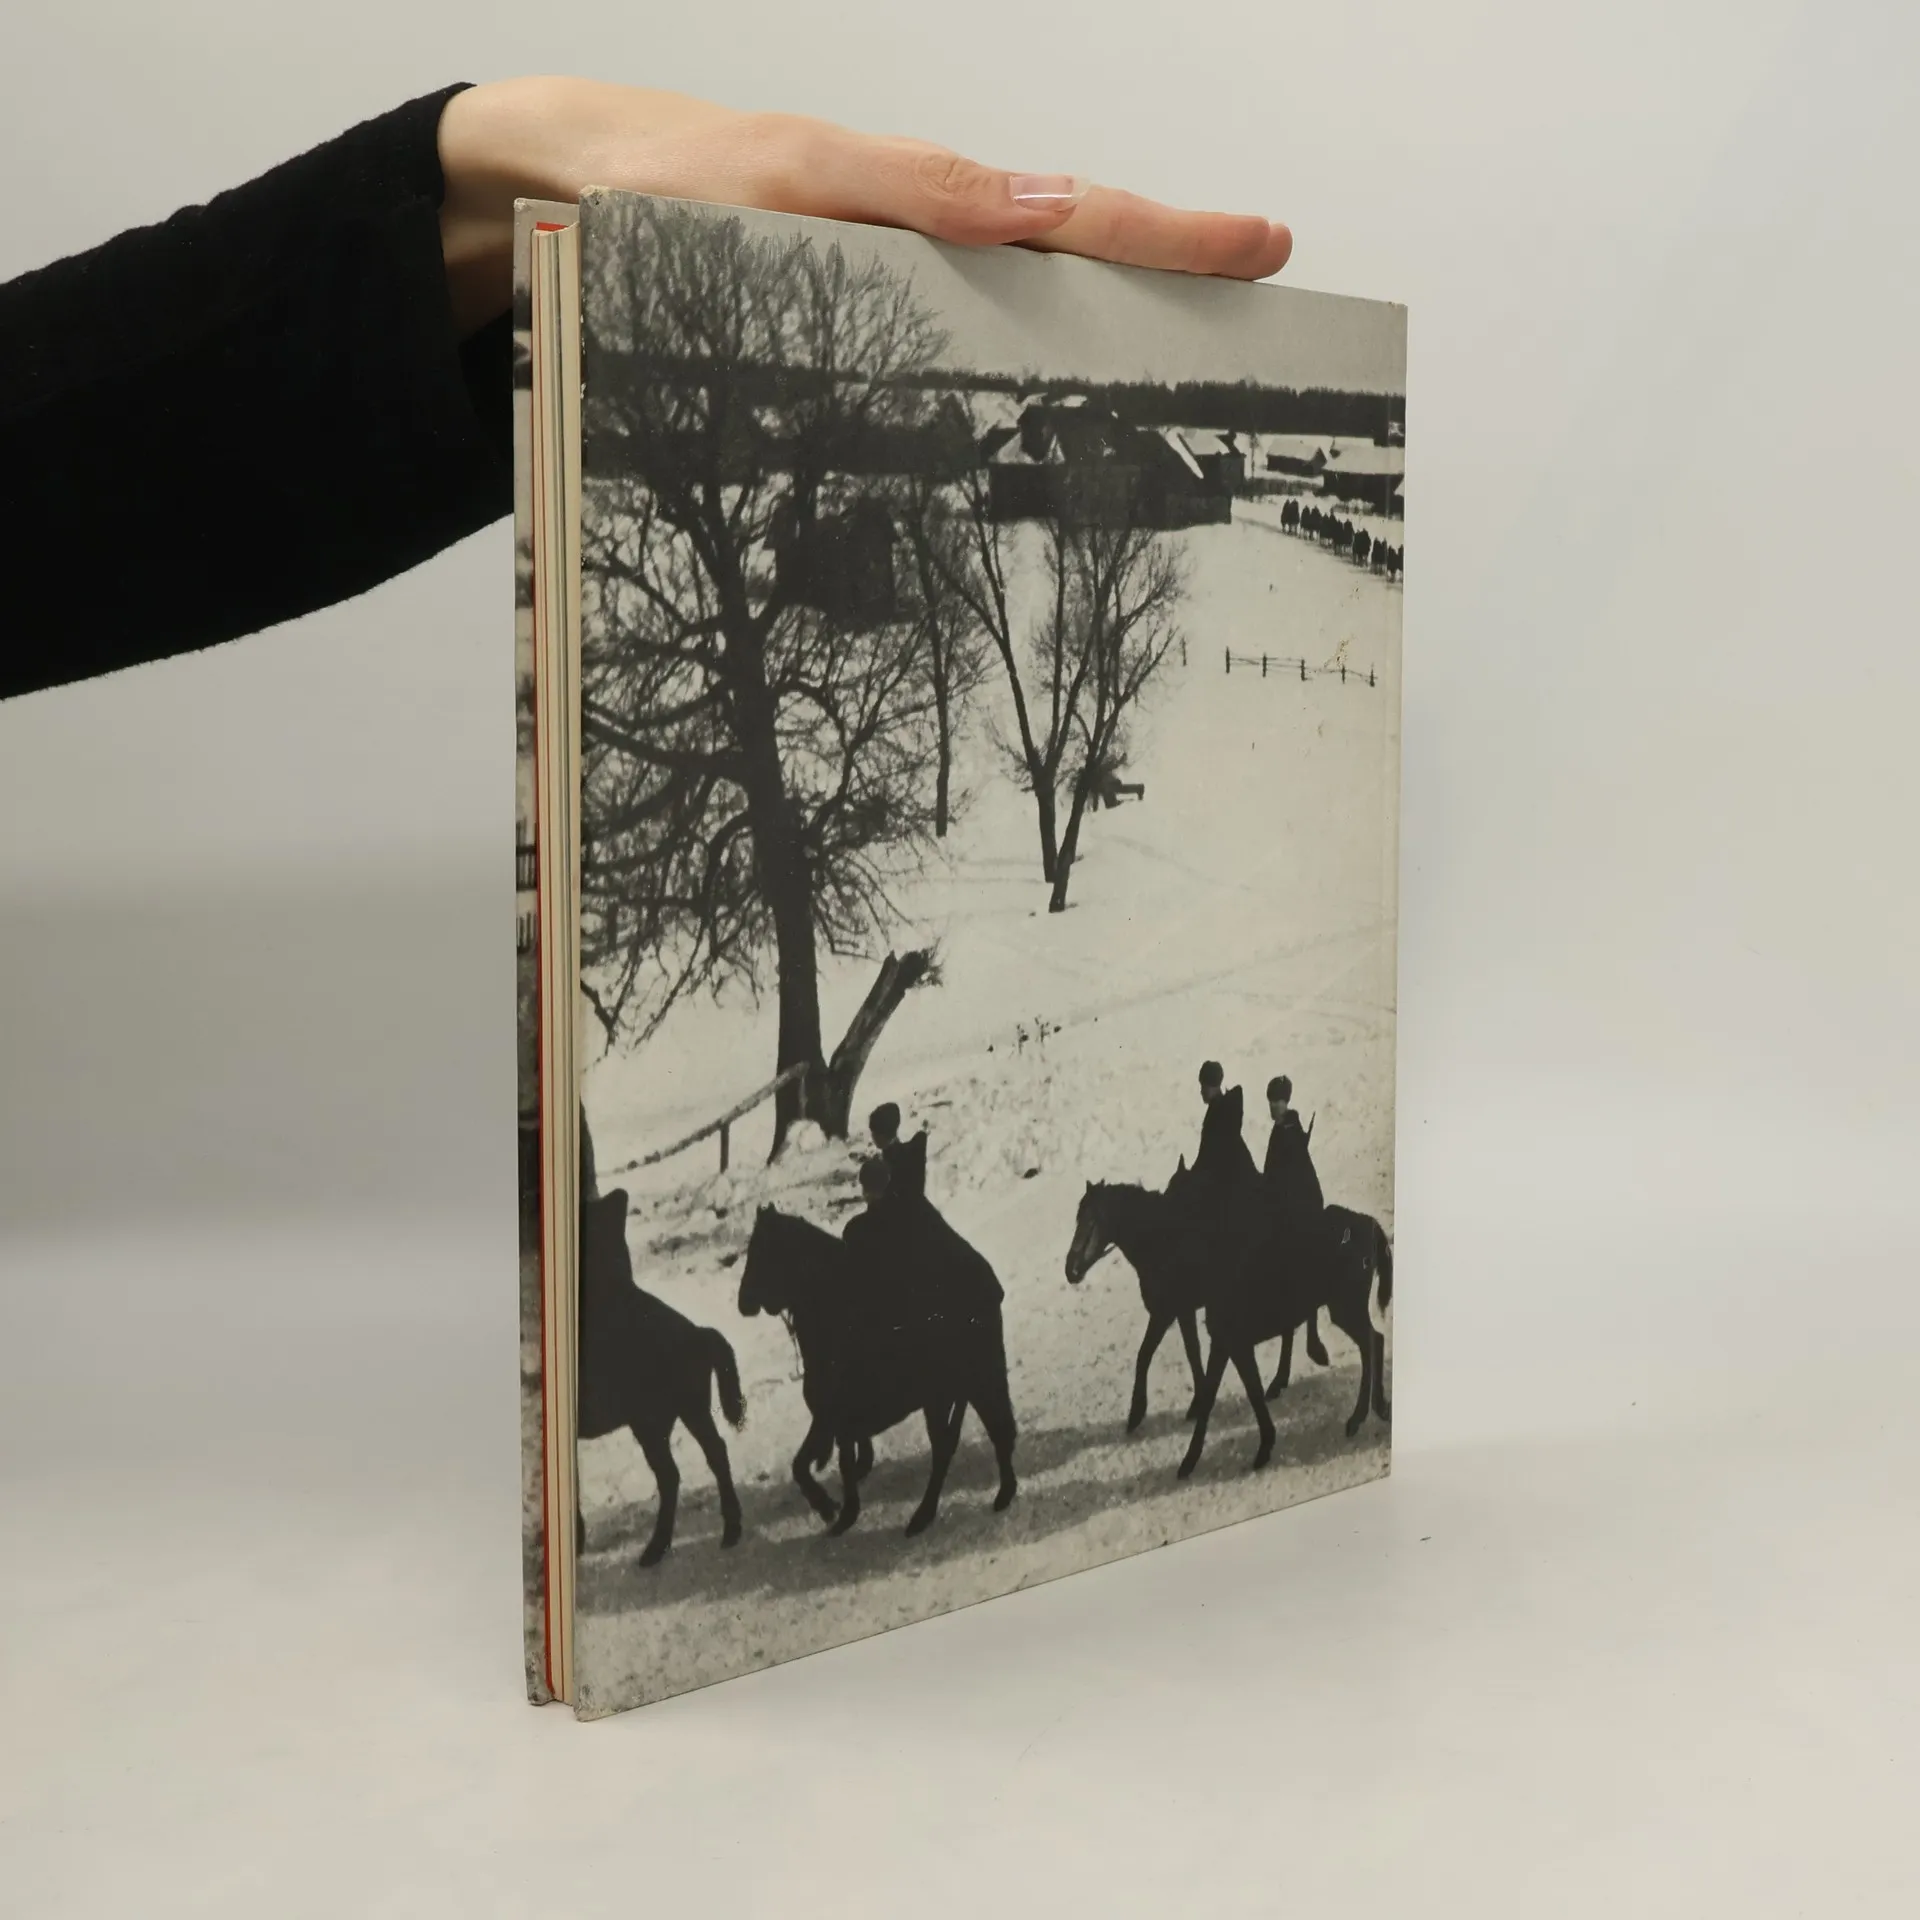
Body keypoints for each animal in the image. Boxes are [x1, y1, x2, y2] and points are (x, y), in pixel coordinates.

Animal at [577, 1188, 747, 1568]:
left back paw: (656, 1549)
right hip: (687, 1409)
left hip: (655, 1419)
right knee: (713, 1452)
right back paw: (727, 1532)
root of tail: (698, 1333)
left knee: (673, 1473)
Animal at [737, 1204, 1018, 1538]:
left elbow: (827, 1464)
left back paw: (925, 1514)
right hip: (968, 1385)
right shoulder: (832, 1421)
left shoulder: (834, 1417)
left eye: (761, 1251)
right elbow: (806, 1463)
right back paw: (1003, 1492)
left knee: (952, 1445)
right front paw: (832, 1507)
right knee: (992, 1429)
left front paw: (838, 1510)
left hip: (953, 1390)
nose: (743, 1302)